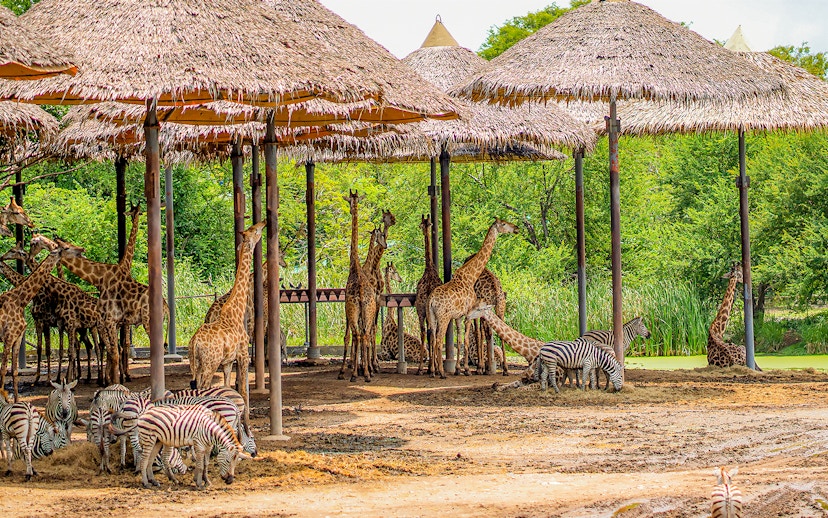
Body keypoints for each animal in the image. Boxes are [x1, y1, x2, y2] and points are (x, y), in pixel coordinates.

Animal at [0, 243, 79, 401]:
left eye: (12, 250)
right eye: (66, 248)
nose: (2, 257)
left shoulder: (34, 327)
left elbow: (42, 351)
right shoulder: (15, 333)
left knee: (74, 349)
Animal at [52, 204, 169, 385]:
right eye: (66, 246)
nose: (81, 249)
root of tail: (166, 306)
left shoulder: (113, 321)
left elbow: (116, 350)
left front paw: (116, 382)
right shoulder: (115, 322)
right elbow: (116, 350)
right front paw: (116, 380)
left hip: (145, 321)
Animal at [112, 404, 250, 489]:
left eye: (237, 462)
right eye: (227, 460)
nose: (230, 480)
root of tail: (143, 414)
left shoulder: (208, 446)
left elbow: (205, 464)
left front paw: (206, 481)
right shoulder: (198, 444)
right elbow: (200, 464)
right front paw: (198, 482)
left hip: (158, 440)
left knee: (151, 460)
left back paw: (155, 481)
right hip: (149, 438)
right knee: (145, 459)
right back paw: (146, 483)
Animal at [189, 221, 265, 433]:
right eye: (255, 231)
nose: (264, 222)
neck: (236, 310)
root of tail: (194, 342)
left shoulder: (227, 361)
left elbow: (228, 386)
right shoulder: (243, 354)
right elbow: (244, 390)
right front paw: (248, 427)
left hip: (196, 363)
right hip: (209, 363)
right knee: (203, 387)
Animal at [427, 218, 518, 378]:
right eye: (504, 223)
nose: (516, 228)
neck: (470, 276)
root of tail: (431, 300)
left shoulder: (458, 316)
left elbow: (460, 339)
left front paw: (458, 369)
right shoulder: (469, 314)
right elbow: (468, 338)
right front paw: (467, 370)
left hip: (432, 316)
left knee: (431, 338)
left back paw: (433, 371)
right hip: (443, 318)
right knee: (438, 340)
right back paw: (442, 372)